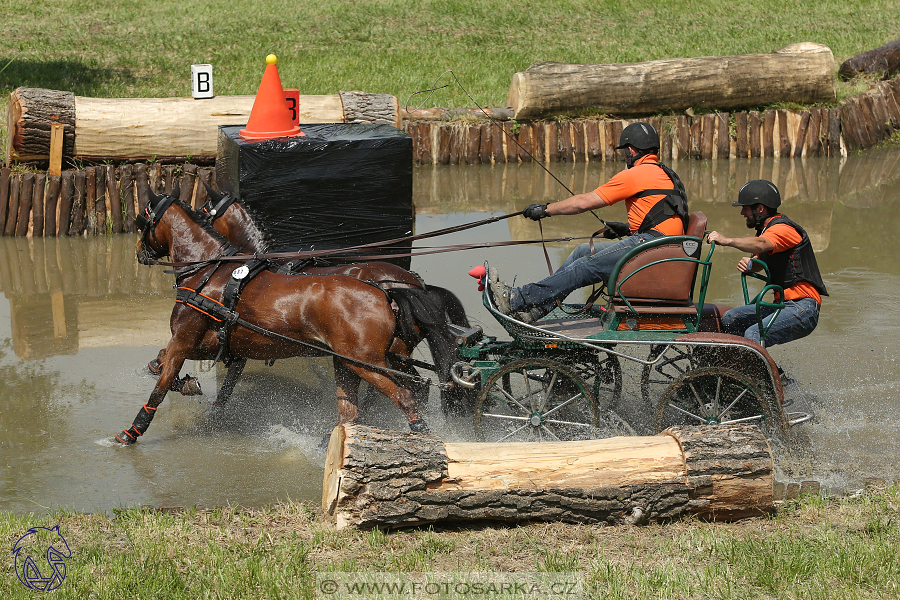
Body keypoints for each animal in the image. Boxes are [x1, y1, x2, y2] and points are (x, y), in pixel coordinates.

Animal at [116, 192, 432, 446]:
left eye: (142, 221)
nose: (138, 252)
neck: (208, 273)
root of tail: (392, 290)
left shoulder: (184, 340)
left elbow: (161, 386)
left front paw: (133, 431)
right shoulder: (220, 345)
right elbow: (183, 371)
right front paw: (188, 388)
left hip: (367, 361)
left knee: (405, 394)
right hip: (361, 360)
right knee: (382, 398)